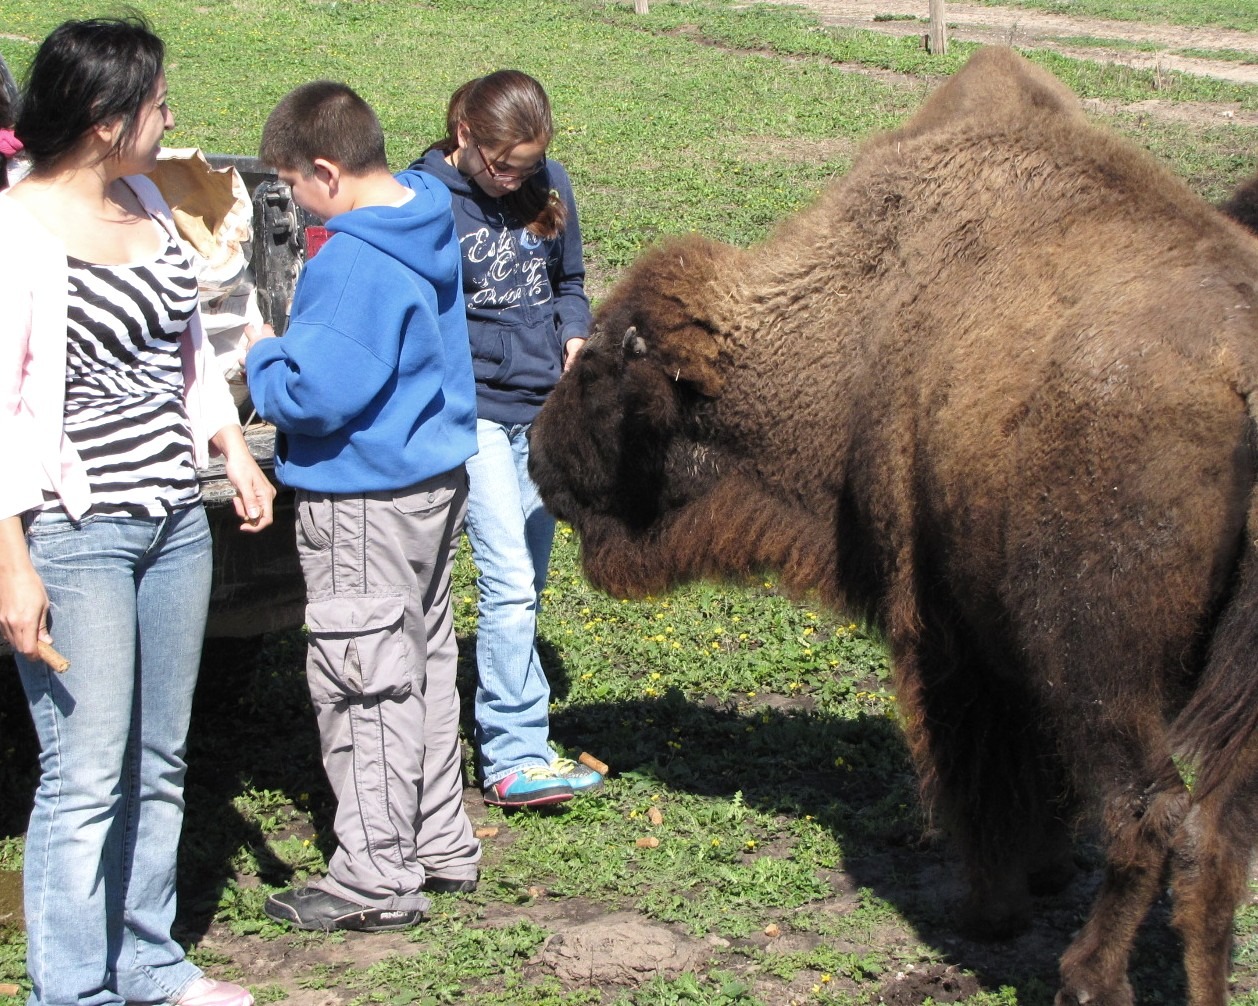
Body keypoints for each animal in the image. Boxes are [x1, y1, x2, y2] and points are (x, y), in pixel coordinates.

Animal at [529, 47, 1258, 1006]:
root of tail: (1243, 373)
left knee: (1152, 811)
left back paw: (1085, 976)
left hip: (1103, 669)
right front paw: (1045, 874)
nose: (536, 453)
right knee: (1217, 838)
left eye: (604, 368)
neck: (855, 323)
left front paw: (990, 910)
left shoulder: (950, 638)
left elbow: (982, 777)